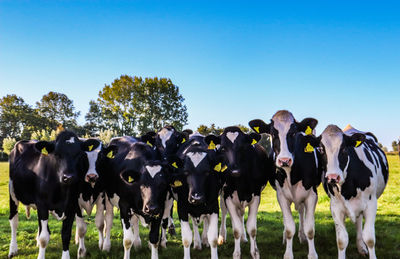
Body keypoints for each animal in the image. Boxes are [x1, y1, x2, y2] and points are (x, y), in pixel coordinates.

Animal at [205, 127, 274, 258]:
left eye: (243, 147)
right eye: (223, 148)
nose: (235, 171)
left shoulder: (256, 196)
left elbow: (252, 228)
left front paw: (255, 252)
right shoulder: (228, 197)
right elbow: (236, 229)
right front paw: (236, 254)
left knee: (241, 215)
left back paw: (244, 238)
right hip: (223, 195)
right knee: (226, 213)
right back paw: (222, 237)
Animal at [248, 110, 320, 259]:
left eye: (293, 133)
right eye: (272, 133)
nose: (284, 160)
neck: (292, 175)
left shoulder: (312, 195)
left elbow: (310, 229)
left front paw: (312, 253)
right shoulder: (281, 196)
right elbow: (289, 228)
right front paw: (288, 253)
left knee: (301, 212)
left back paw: (302, 236)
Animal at [310, 125, 390, 258]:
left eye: (344, 148)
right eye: (321, 149)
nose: (332, 177)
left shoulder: (371, 204)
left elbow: (369, 238)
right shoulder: (335, 207)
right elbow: (342, 240)